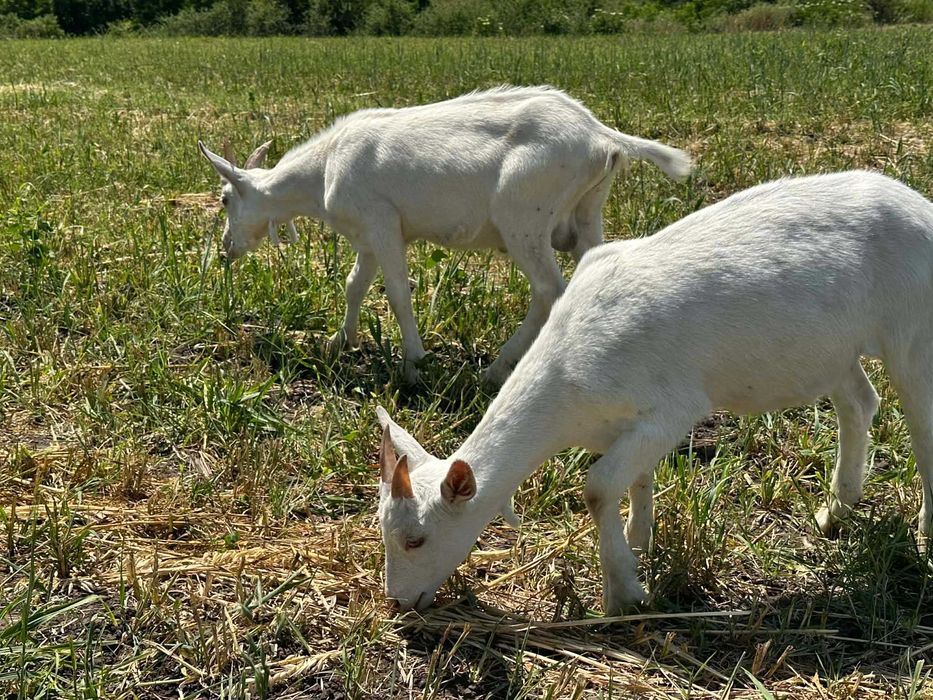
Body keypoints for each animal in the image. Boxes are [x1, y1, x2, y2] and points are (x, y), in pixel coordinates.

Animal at [198, 86, 691, 385]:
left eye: (224, 199)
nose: (226, 249)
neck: (323, 170)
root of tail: (602, 136)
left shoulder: (382, 223)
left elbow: (397, 291)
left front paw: (414, 362)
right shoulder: (368, 235)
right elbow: (355, 284)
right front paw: (340, 342)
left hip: (524, 219)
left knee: (549, 289)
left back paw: (496, 370)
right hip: (588, 212)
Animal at [375, 170, 933, 615]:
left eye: (416, 539)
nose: (398, 601)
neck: (567, 384)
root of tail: (921, 206)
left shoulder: (674, 408)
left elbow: (598, 488)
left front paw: (623, 592)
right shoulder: (627, 423)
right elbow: (637, 480)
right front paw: (639, 542)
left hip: (912, 331)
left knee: (921, 428)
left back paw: (925, 532)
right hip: (830, 352)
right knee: (859, 402)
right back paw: (835, 512)